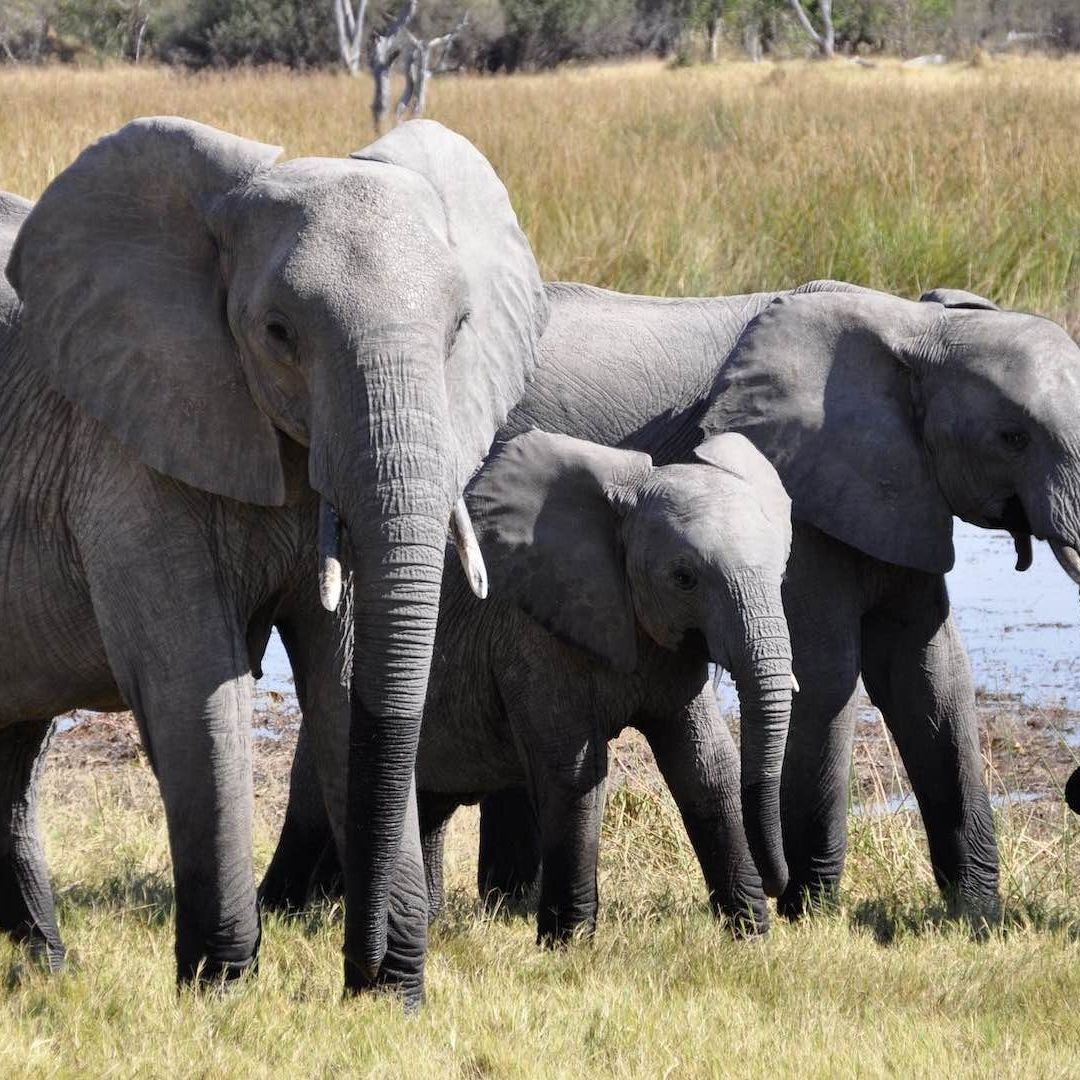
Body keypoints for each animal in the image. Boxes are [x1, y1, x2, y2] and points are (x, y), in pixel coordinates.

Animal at [0, 115, 546, 1001]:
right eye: (279, 334)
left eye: (460, 329)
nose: (365, 969)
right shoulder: (123, 450)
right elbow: (195, 689)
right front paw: (218, 990)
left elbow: (346, 682)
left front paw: (391, 998)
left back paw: (45, 969)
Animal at [263, 427, 794, 941]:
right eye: (684, 578)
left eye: (781, 570)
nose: (779, 884)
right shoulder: (528, 633)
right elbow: (574, 773)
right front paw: (569, 943)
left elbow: (706, 767)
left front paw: (750, 935)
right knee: (315, 800)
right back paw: (282, 914)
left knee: (429, 805)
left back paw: (423, 920)